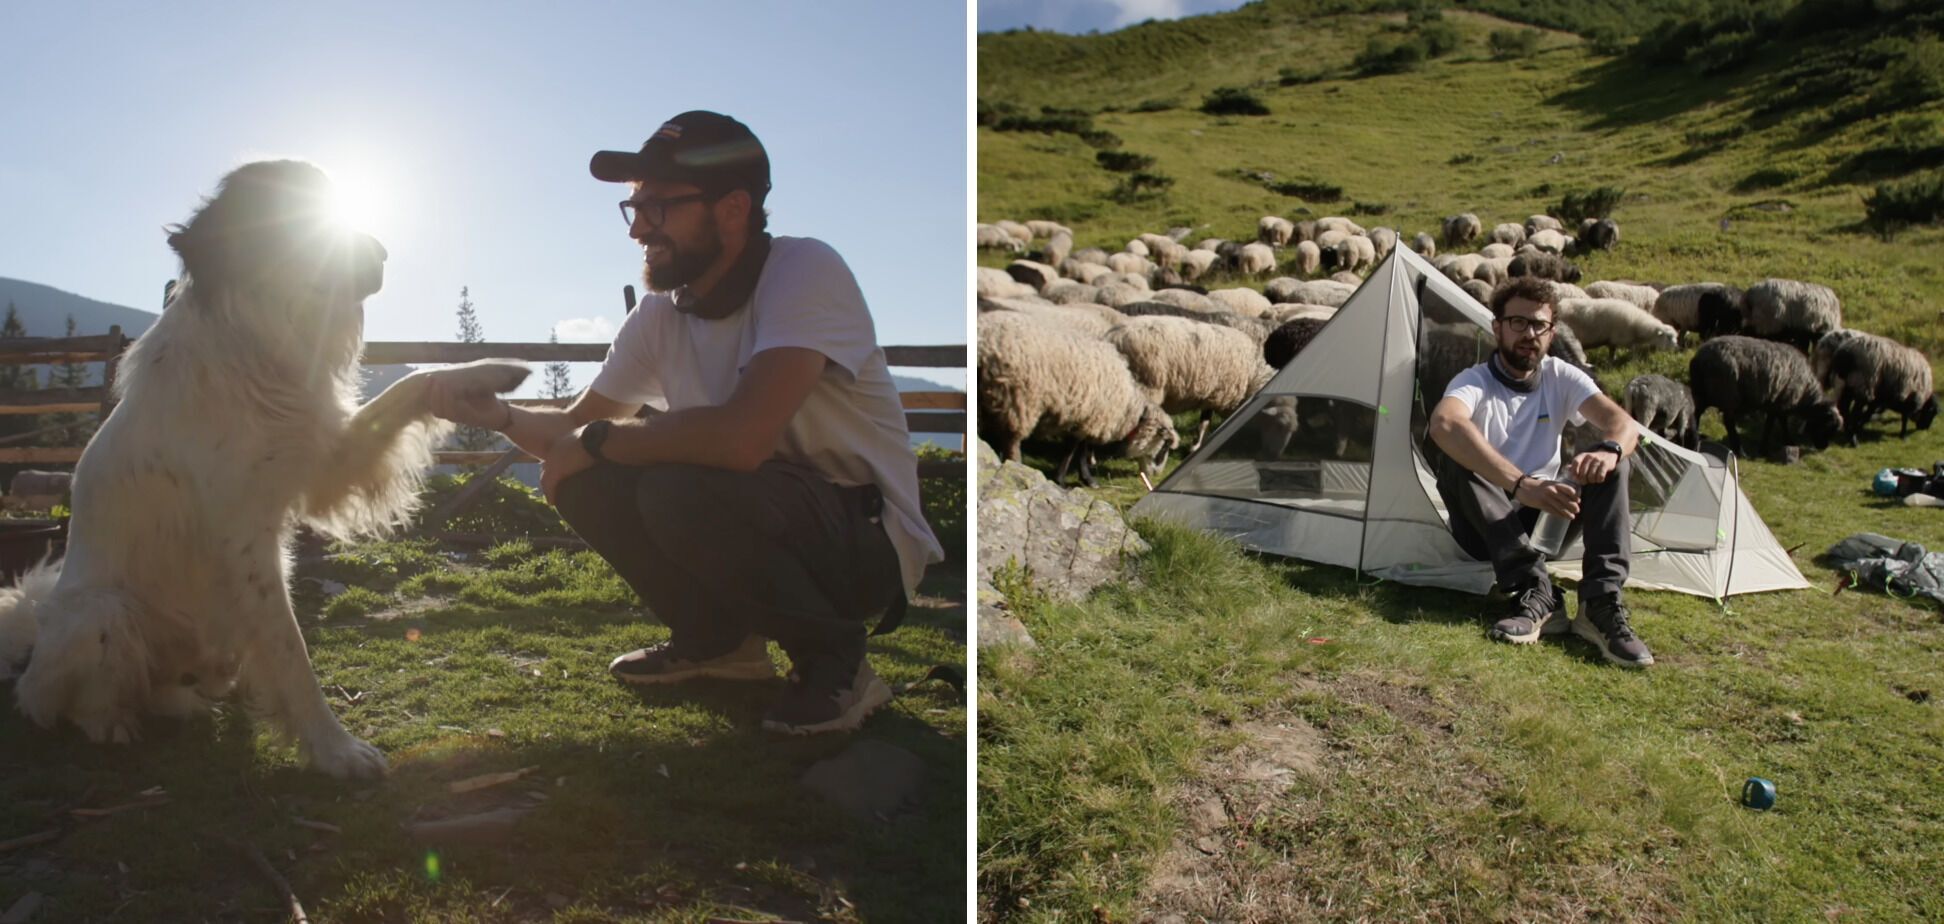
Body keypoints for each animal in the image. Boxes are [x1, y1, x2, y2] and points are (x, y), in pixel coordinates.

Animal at [0, 162, 528, 778]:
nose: (383, 252)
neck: (257, 342)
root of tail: (34, 628)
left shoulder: (326, 464)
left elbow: (412, 384)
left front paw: (487, 374)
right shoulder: (244, 538)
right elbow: (290, 651)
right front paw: (335, 750)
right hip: (100, 611)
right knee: (62, 700)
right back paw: (112, 722)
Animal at [979, 309, 1174, 484]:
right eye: (1164, 446)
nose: (1156, 475)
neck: (1128, 410)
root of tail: (984, 343)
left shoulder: (1083, 415)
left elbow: (1078, 447)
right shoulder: (1089, 416)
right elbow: (1075, 448)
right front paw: (1070, 479)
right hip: (1018, 399)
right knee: (1011, 440)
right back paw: (1016, 465)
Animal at [1111, 315, 1275, 451]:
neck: (1252, 373)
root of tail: (1114, 338)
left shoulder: (1211, 395)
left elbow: (1205, 422)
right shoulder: (1218, 395)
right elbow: (1204, 424)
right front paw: (1195, 446)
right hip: (1147, 386)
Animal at [1695, 338, 1842, 457]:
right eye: (1827, 426)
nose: (1823, 447)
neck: (1805, 394)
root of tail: (1701, 357)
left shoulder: (1777, 402)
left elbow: (1777, 422)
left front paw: (1784, 442)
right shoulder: (1781, 402)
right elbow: (1775, 424)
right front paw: (1767, 448)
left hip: (1704, 392)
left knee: (1696, 412)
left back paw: (1696, 437)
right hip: (1728, 394)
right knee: (1728, 421)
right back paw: (1740, 451)